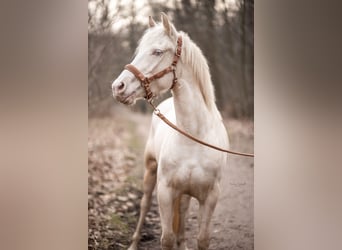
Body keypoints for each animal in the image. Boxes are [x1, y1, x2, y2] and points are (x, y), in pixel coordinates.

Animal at [112, 12, 230, 249]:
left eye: (157, 52)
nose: (118, 87)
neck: (194, 137)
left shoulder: (210, 197)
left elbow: (202, 239)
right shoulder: (165, 192)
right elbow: (166, 238)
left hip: (185, 193)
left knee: (182, 212)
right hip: (150, 174)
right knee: (144, 206)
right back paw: (134, 243)